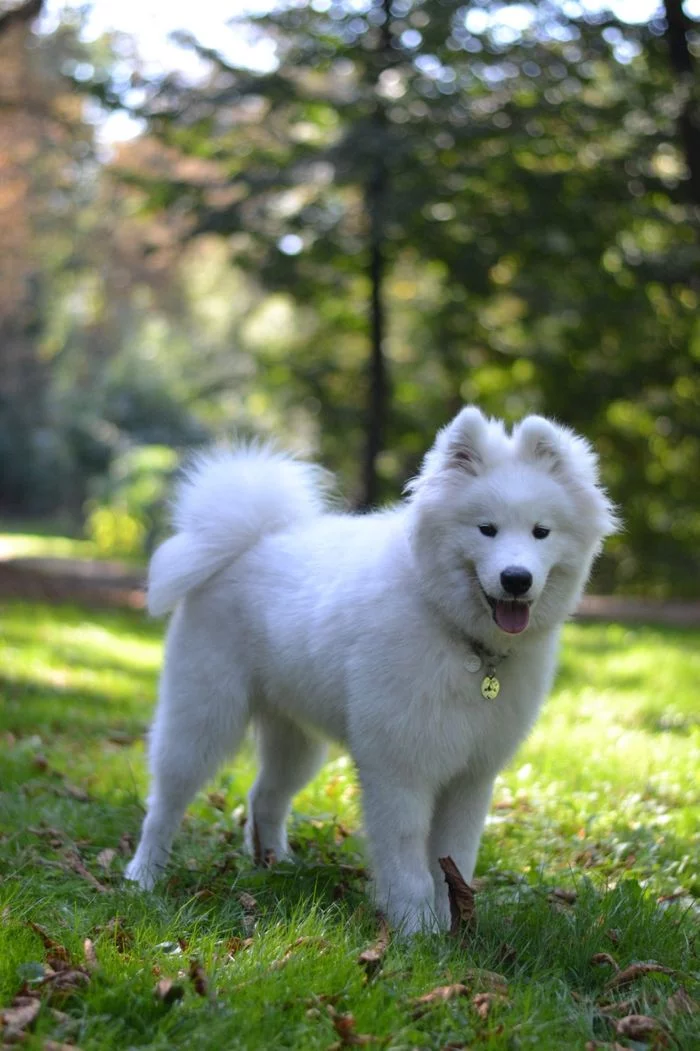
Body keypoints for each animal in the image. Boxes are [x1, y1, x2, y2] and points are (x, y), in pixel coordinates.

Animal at [126, 405, 618, 933]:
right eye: (486, 529)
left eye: (541, 532)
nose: (516, 579)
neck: (463, 640)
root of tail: (250, 540)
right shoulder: (399, 767)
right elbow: (407, 857)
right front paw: (416, 928)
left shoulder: (471, 775)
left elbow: (454, 858)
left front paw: (454, 924)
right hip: (202, 718)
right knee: (166, 802)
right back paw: (143, 876)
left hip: (296, 741)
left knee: (265, 797)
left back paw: (276, 867)